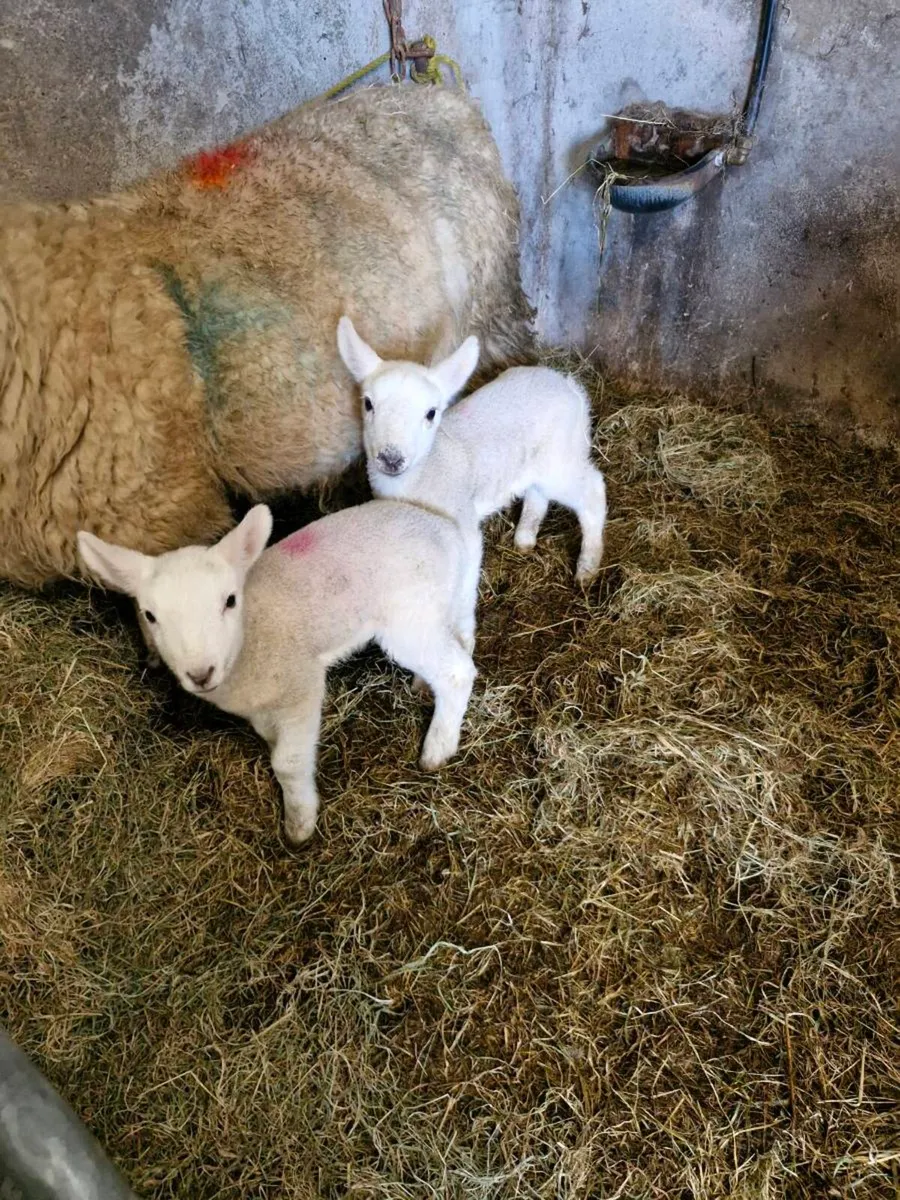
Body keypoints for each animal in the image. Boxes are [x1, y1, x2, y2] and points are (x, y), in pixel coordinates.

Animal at [77, 502, 477, 845]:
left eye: (229, 601)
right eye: (149, 615)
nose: (200, 673)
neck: (249, 637)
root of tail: (446, 530)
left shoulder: (301, 685)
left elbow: (287, 762)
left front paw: (299, 823)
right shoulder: (262, 707)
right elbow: (272, 740)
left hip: (409, 614)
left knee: (458, 671)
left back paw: (437, 749)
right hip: (448, 600)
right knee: (462, 637)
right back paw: (426, 685)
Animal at [336, 317, 608, 647]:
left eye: (431, 413)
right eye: (368, 404)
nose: (391, 458)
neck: (427, 470)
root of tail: (569, 386)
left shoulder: (463, 525)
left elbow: (465, 582)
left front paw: (464, 637)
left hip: (559, 459)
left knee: (592, 490)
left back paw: (587, 567)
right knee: (537, 492)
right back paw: (525, 538)